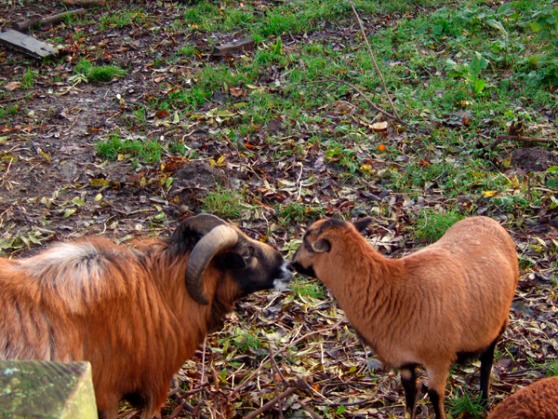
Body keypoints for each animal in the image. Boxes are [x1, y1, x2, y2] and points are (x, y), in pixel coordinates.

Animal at [294, 217, 520, 419]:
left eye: (307, 244)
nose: (291, 264)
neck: (395, 291)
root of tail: (490, 221)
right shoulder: (404, 362)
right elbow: (410, 395)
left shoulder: (438, 360)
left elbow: (435, 397)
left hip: (499, 320)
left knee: (487, 358)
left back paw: (484, 400)